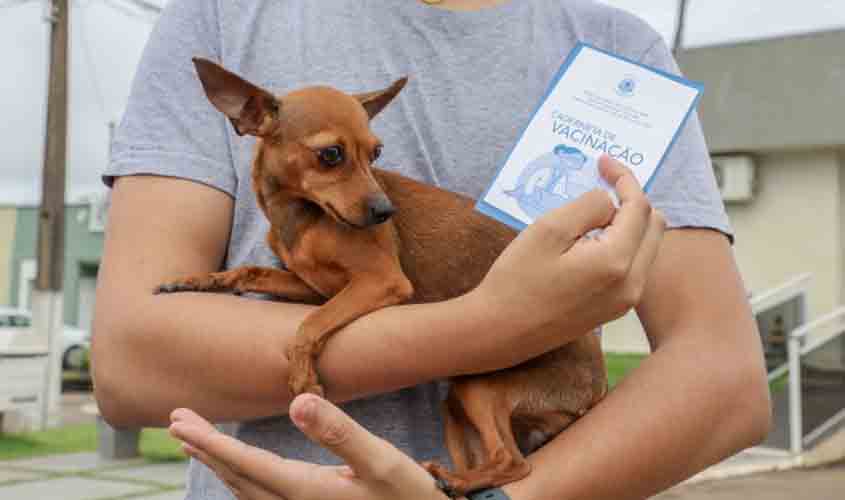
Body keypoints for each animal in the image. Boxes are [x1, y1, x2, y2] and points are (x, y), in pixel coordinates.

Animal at [158, 59, 608, 496]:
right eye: (331, 154)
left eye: (376, 154)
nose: (384, 211)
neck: (303, 218)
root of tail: (596, 391)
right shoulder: (312, 287)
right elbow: (252, 272)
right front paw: (199, 280)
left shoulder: (380, 282)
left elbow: (311, 325)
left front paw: (303, 375)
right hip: (459, 405)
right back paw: (455, 479)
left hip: (482, 387)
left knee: (514, 464)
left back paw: (454, 480)